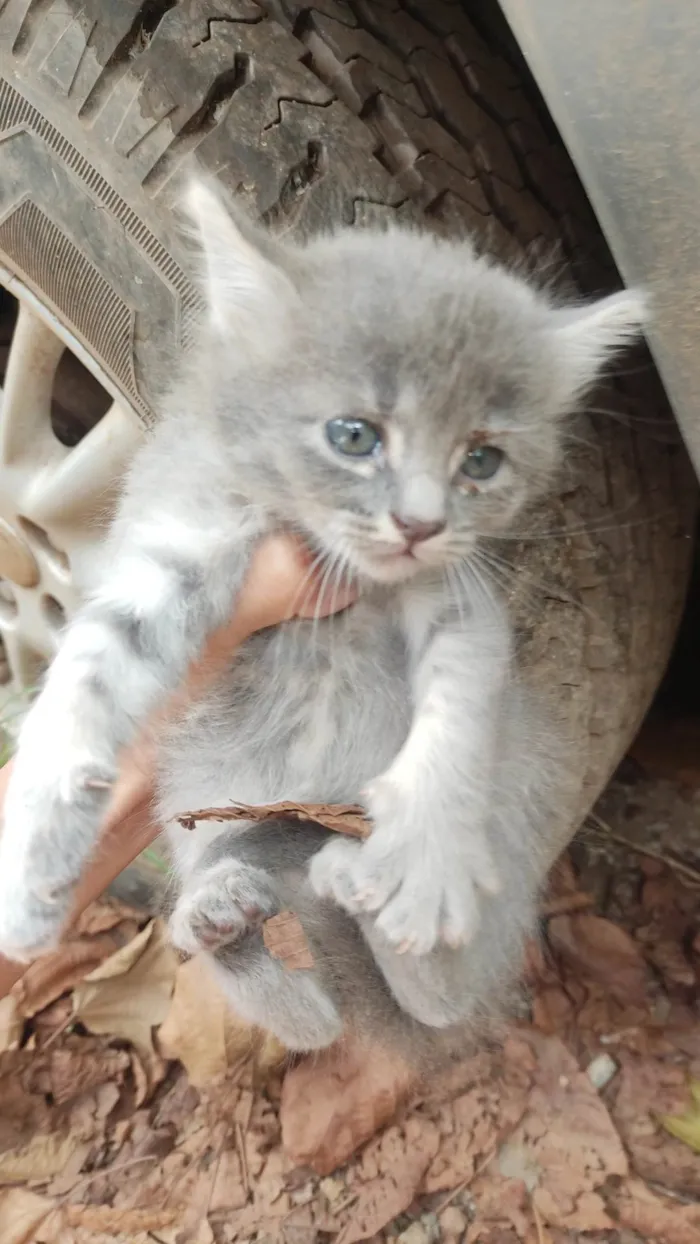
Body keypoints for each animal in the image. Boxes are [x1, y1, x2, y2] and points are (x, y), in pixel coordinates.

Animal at [0, 180, 646, 1064]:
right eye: (353, 436)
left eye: (482, 461)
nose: (419, 524)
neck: (344, 571)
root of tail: (316, 812)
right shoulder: (178, 538)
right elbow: (88, 669)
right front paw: (32, 850)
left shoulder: (460, 598)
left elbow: (458, 708)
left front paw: (427, 854)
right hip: (204, 811)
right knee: (314, 1020)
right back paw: (221, 919)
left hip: (505, 814)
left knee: (432, 1006)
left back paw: (371, 895)